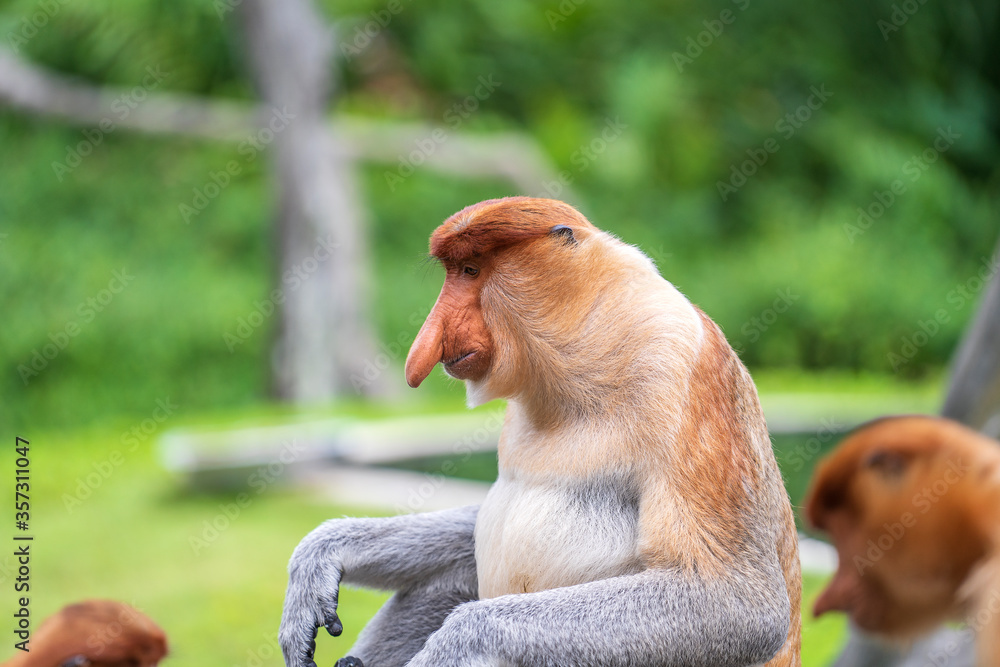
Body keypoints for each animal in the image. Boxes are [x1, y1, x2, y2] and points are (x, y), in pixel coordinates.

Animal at [279, 196, 802, 667]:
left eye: (470, 270)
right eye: (456, 272)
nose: (428, 343)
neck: (581, 357)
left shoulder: (679, 373)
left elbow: (738, 605)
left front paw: (453, 646)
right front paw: (324, 552)